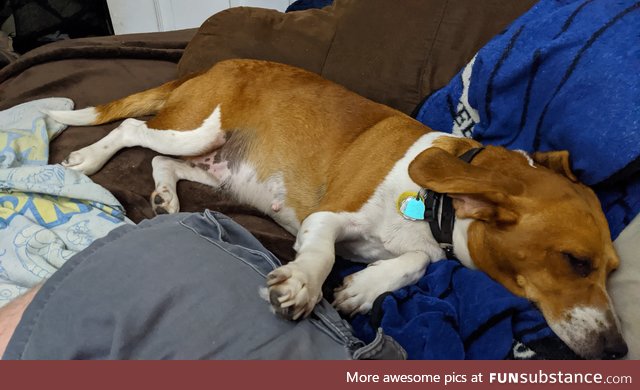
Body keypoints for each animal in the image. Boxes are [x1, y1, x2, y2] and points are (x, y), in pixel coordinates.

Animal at [47, 58, 628, 360]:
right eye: (575, 261)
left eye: (611, 270)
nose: (619, 349)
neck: (435, 205)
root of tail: (218, 62)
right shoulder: (327, 217)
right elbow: (323, 253)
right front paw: (305, 283)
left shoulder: (419, 249)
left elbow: (415, 263)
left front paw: (362, 289)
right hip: (196, 128)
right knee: (132, 130)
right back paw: (87, 158)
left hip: (219, 169)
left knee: (162, 163)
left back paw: (165, 196)